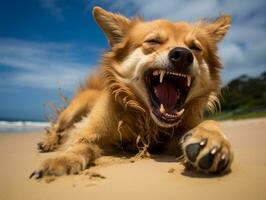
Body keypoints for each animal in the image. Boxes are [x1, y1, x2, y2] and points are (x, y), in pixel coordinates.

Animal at [29, 5, 233, 178]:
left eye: (196, 48)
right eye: (153, 41)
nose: (183, 55)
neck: (144, 119)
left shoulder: (171, 138)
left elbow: (209, 123)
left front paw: (212, 139)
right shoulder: (88, 130)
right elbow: (80, 144)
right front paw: (63, 158)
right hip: (73, 110)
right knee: (58, 126)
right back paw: (48, 142)